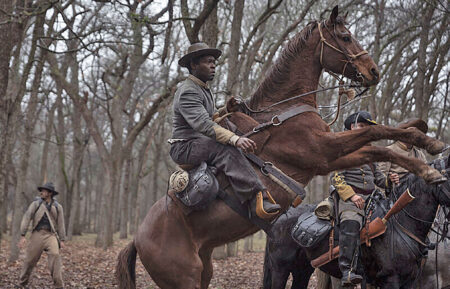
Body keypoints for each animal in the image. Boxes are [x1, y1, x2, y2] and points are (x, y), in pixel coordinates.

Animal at [116, 6, 446, 288]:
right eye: (345, 36)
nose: (373, 71)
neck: (284, 110)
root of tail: (138, 238)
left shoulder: (331, 153)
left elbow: (383, 133)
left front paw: (425, 135)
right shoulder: (324, 154)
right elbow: (378, 139)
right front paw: (429, 167)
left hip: (205, 269)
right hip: (184, 277)